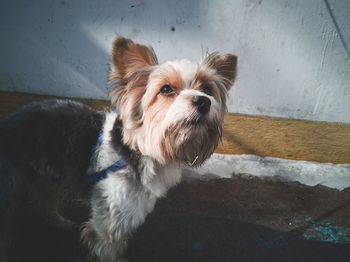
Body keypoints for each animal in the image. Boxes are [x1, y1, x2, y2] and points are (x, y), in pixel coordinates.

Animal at [0, 37, 238, 262]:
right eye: (167, 89)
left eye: (207, 89)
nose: (204, 101)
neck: (142, 150)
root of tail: (9, 121)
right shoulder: (110, 217)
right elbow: (107, 248)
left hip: (48, 176)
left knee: (44, 201)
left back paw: (61, 221)